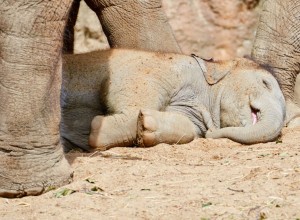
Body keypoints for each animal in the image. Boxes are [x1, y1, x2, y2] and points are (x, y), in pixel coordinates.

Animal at [61, 49, 286, 151]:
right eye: (265, 83)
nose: (211, 133)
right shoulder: (160, 69)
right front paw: (97, 129)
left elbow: (188, 129)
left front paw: (147, 125)